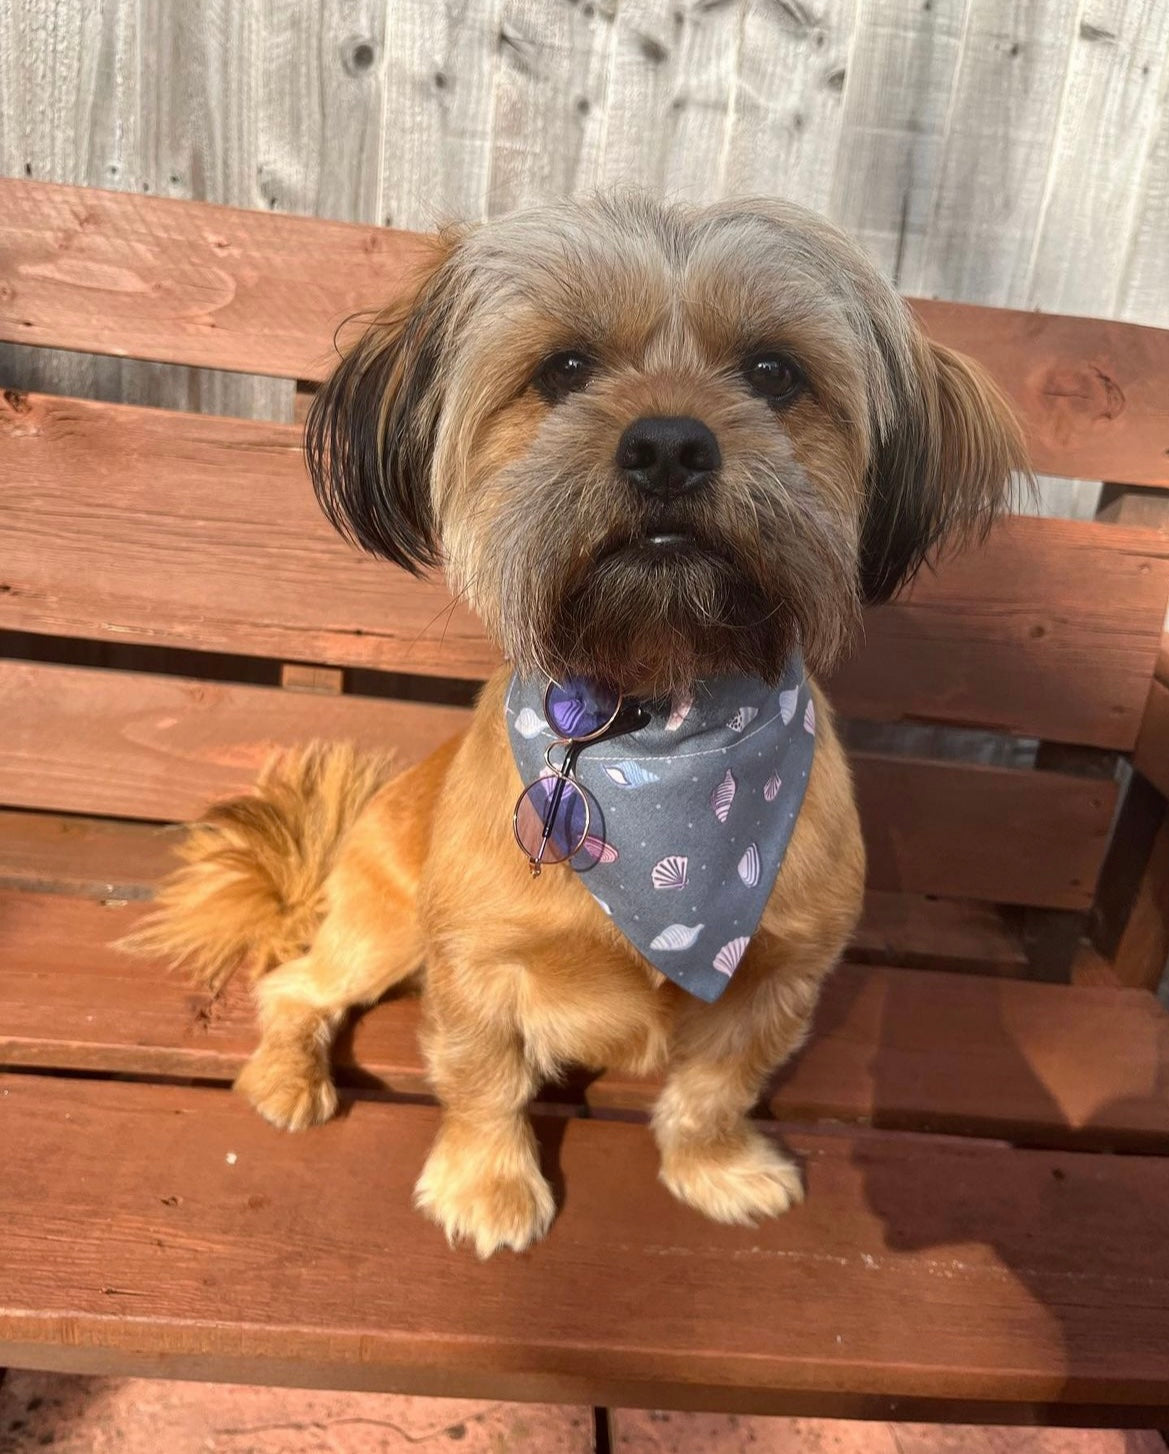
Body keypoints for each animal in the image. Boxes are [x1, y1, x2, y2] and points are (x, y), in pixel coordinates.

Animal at [123, 196, 1029, 1262]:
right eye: (562, 369)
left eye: (773, 371)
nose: (669, 445)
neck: (658, 719)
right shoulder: (477, 967)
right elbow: (482, 1081)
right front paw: (486, 1186)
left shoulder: (777, 978)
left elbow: (715, 1090)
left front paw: (714, 1167)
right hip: (382, 929)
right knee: (297, 989)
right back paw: (286, 1076)